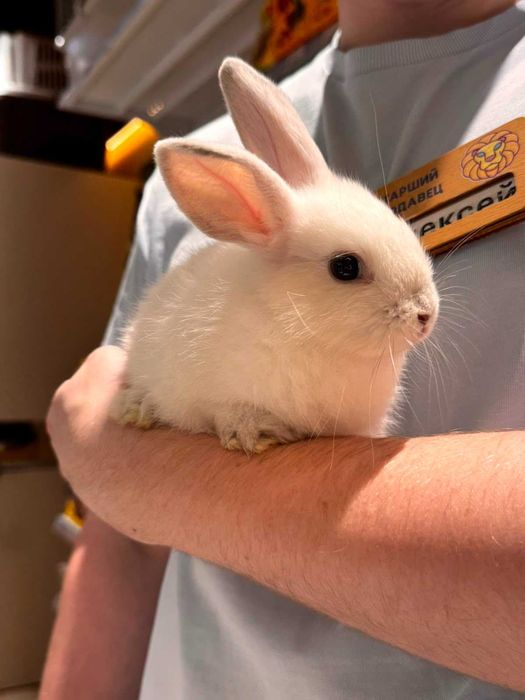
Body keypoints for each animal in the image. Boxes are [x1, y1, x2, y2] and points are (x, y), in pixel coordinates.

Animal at [110, 57, 439, 454]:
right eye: (345, 266)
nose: (426, 314)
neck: (292, 324)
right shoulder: (205, 393)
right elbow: (224, 410)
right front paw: (255, 431)